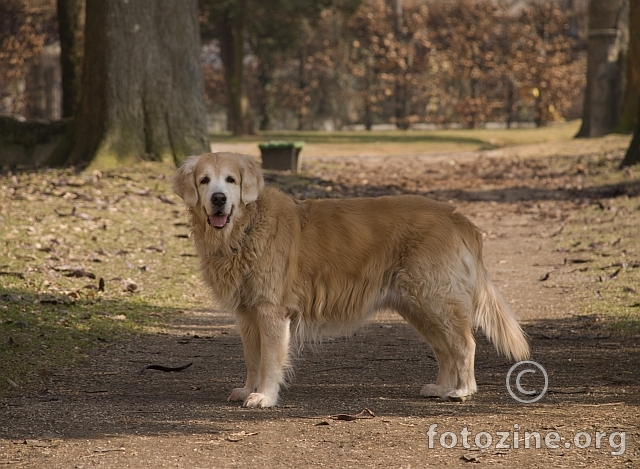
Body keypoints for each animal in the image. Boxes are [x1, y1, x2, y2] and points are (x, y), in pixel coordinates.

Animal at [172, 153, 528, 406]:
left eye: (231, 180)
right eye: (204, 180)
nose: (218, 198)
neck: (246, 228)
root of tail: (455, 216)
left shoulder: (271, 311)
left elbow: (270, 360)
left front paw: (265, 396)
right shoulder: (247, 314)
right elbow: (252, 359)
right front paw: (249, 389)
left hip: (436, 299)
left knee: (464, 344)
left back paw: (463, 390)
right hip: (418, 306)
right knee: (444, 348)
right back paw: (441, 387)